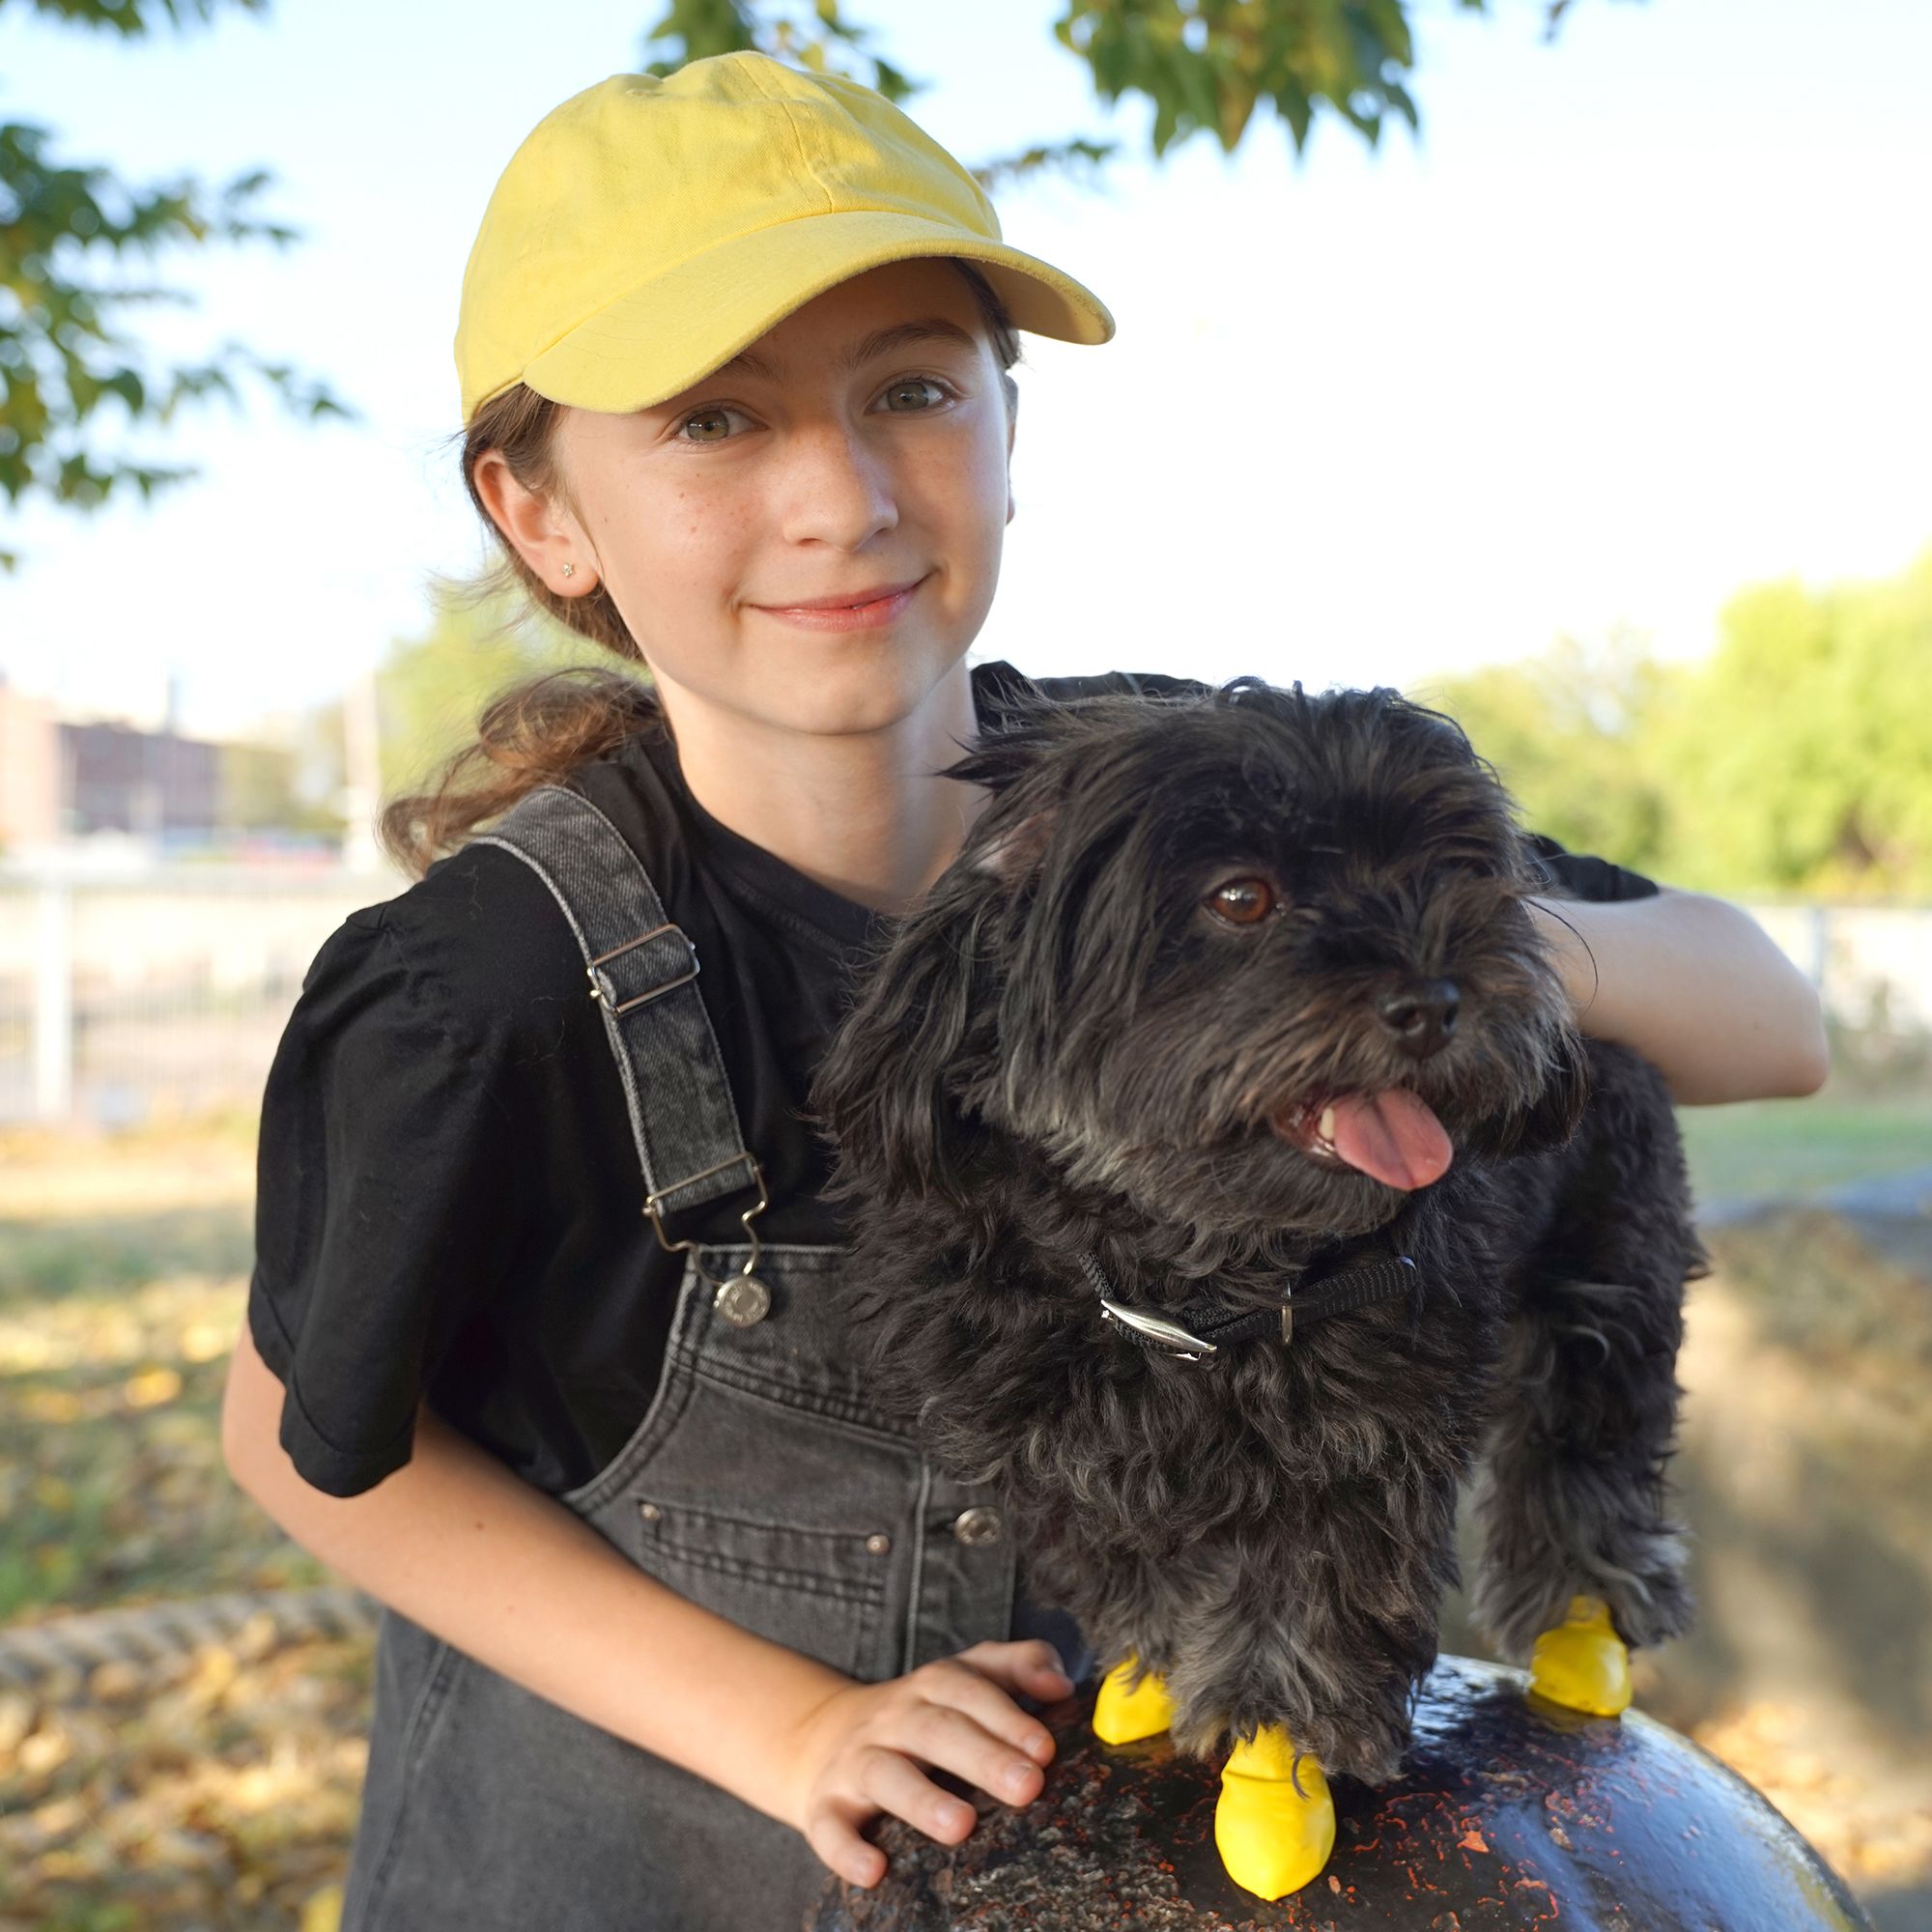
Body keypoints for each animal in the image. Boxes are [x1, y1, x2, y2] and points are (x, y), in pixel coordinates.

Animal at [808, 692, 1700, 1886]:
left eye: (1448, 872)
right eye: (1241, 896)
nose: (1434, 997)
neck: (1177, 1280)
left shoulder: (1358, 1443)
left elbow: (1306, 1596)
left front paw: (1272, 1762)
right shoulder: (1043, 1428)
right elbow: (1121, 1550)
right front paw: (1149, 1666)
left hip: (1604, 1276)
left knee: (1587, 1445)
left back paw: (1586, 1623)